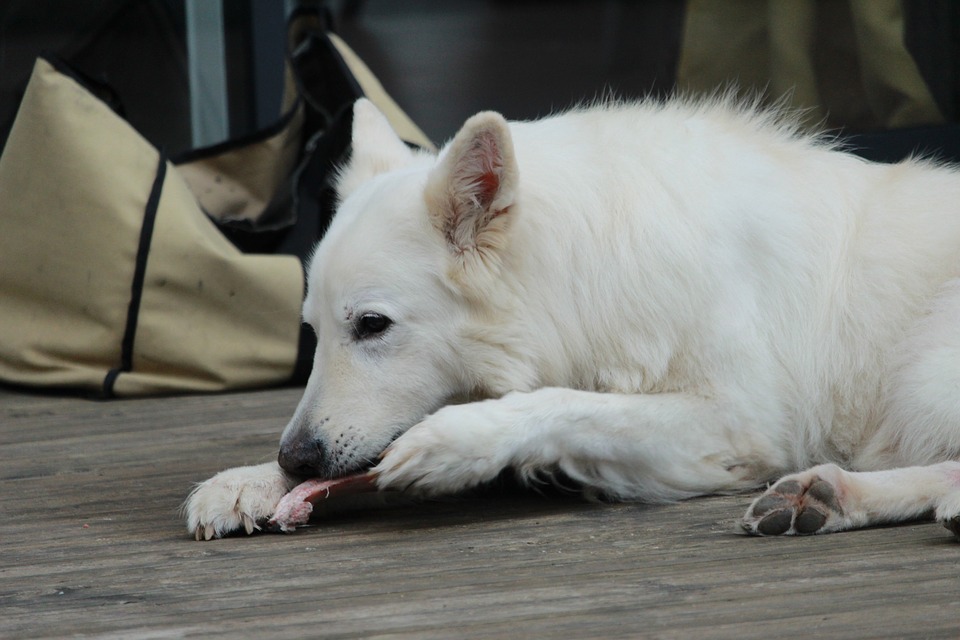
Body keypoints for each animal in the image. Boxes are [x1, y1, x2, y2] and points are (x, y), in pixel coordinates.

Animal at [184, 97, 956, 544]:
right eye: (314, 332)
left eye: (372, 325)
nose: (295, 458)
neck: (584, 270)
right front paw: (251, 481)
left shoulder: (737, 424)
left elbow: (568, 404)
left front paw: (456, 442)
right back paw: (826, 495)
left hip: (923, 372)